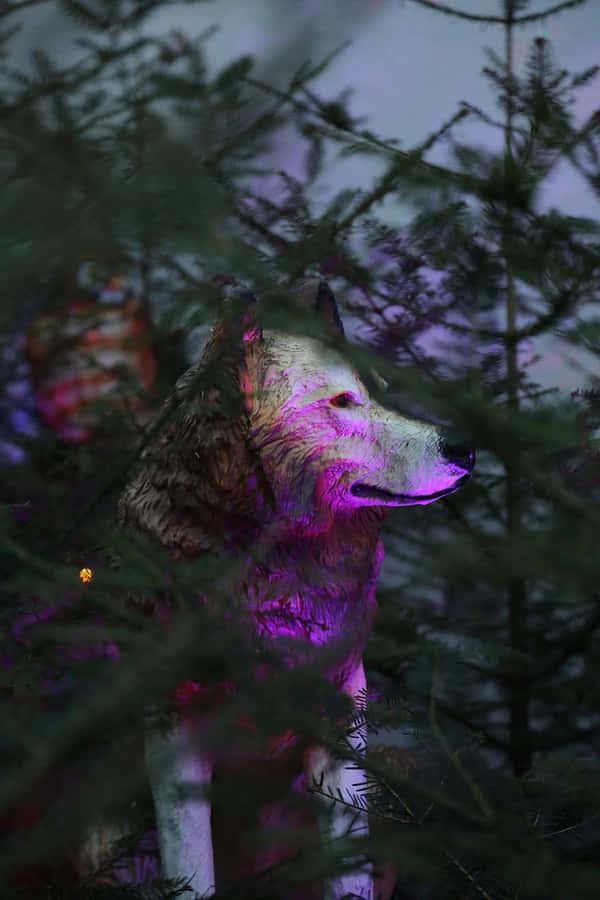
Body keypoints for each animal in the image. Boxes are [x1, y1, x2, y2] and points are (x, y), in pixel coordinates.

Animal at [117, 278, 474, 899]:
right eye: (342, 402)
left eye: (381, 393)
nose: (465, 448)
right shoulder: (172, 736)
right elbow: (191, 870)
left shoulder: (343, 722)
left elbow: (349, 874)